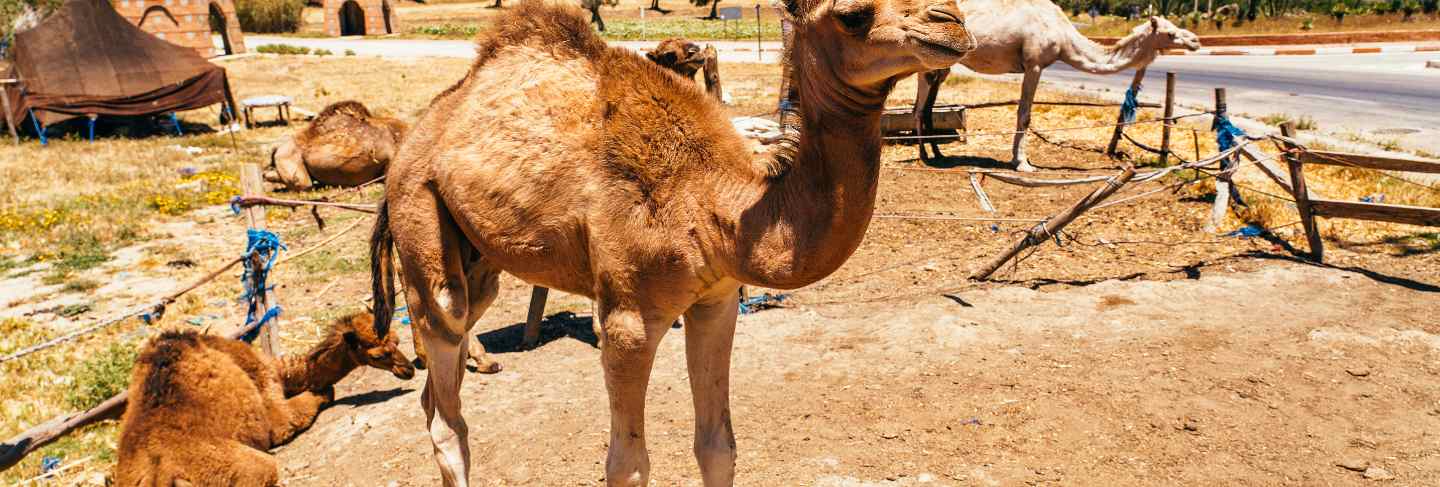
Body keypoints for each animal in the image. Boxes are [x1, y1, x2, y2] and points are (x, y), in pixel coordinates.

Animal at [113, 314, 417, 484]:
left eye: (397, 340)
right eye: (379, 354)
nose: (409, 369)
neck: (282, 371)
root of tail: (159, 477)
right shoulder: (275, 415)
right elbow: (324, 392)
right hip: (249, 468)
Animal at [371, 1, 979, 484]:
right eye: (854, 15)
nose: (953, 22)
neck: (715, 205)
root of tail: (414, 135)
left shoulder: (716, 300)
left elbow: (717, 447)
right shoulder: (628, 320)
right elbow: (627, 466)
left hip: (479, 259)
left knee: (440, 383)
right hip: (418, 211)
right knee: (446, 402)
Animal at [910, 0, 1203, 170]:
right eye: (1170, 33)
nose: (1195, 41)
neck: (1064, 37)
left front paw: (1020, 159)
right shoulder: (1035, 64)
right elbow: (1024, 114)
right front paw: (1022, 163)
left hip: (941, 64)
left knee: (926, 107)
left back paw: (937, 154)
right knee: (919, 107)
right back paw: (925, 155)